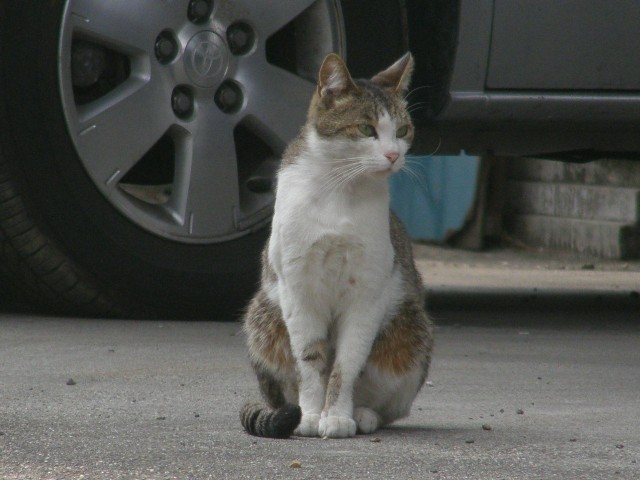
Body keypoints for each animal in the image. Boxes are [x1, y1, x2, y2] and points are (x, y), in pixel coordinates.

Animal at [240, 52, 433, 439]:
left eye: (402, 131)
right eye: (366, 129)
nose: (394, 155)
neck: (339, 190)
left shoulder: (366, 295)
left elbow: (346, 363)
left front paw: (338, 416)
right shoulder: (298, 291)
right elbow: (311, 361)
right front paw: (311, 415)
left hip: (411, 332)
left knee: (390, 406)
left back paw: (364, 415)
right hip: (261, 320)